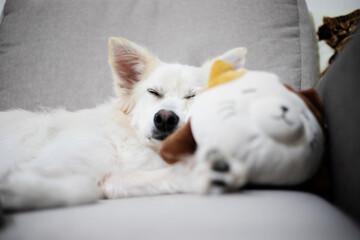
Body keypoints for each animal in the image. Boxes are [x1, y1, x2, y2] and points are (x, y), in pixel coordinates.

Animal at [0, 37, 248, 210]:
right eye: (153, 92)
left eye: (191, 96)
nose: (165, 118)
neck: (124, 143)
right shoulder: (54, 162)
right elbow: (80, 188)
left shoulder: (111, 181)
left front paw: (204, 173)